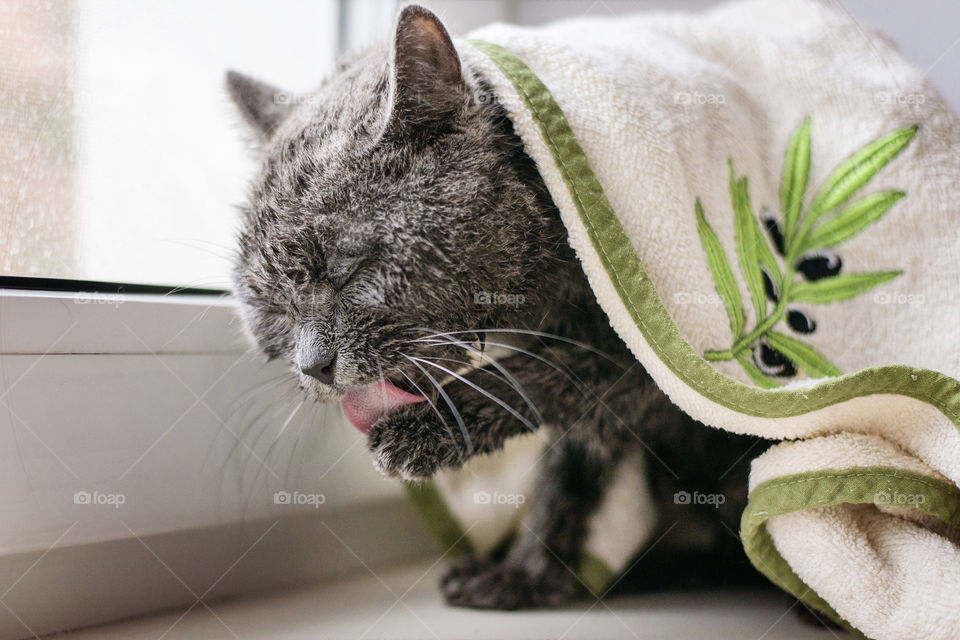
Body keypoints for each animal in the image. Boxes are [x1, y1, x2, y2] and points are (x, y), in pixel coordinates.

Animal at [227, 6, 764, 608]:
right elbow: (570, 471)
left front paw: (425, 433)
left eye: (348, 270)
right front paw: (530, 577)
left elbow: (543, 383)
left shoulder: (645, 355)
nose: (313, 366)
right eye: (273, 308)